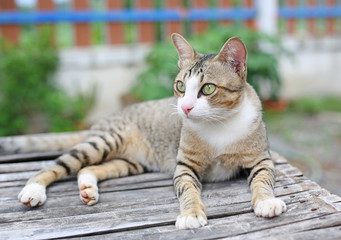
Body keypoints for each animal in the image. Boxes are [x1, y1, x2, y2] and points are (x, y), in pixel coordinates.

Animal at [8, 32, 286, 230]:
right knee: (57, 165)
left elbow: (263, 179)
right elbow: (188, 190)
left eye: (208, 88)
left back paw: (87, 187)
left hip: (131, 162)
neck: (219, 124)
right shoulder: (184, 166)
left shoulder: (261, 159)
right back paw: (33, 190)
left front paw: (266, 201)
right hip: (106, 140)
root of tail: (103, 120)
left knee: (89, 168)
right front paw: (191, 214)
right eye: (181, 86)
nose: (185, 107)